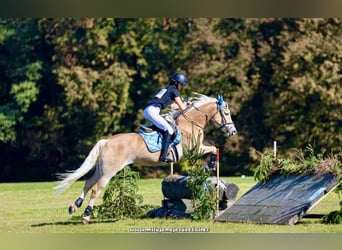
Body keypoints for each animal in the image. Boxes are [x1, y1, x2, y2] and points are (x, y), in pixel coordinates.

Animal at [54, 93, 236, 224]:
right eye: (226, 113)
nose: (232, 131)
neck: (189, 123)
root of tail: (106, 141)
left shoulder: (197, 148)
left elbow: (213, 147)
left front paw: (210, 165)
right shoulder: (195, 149)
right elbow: (213, 148)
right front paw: (210, 164)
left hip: (101, 168)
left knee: (88, 183)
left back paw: (74, 207)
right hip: (109, 171)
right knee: (95, 189)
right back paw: (86, 216)